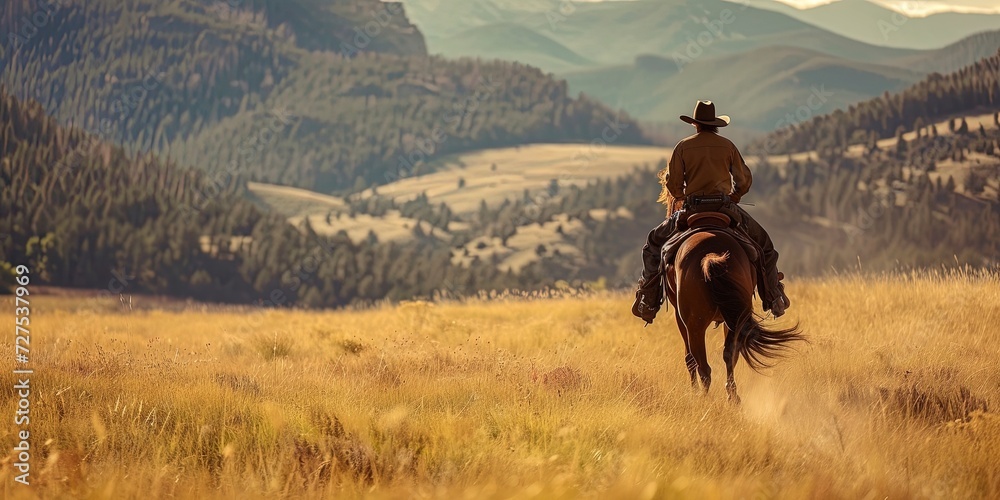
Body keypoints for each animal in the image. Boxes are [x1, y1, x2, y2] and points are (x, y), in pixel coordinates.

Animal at [664, 229, 804, 404]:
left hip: (695, 325)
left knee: (702, 364)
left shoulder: (680, 318)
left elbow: (689, 358)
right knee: (728, 355)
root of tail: (710, 255)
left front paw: (693, 391)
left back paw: (703, 397)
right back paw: (732, 397)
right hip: (730, 321)